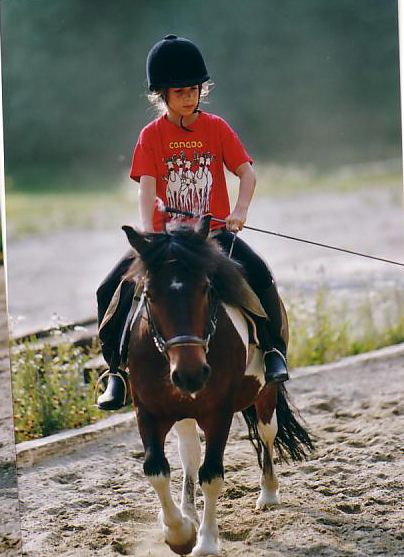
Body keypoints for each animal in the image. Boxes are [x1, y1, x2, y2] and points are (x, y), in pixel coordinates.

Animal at [122, 217, 312, 556]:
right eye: (150, 295)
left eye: (206, 289)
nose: (191, 375)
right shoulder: (147, 412)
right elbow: (156, 470)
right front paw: (179, 531)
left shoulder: (218, 413)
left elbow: (211, 475)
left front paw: (206, 541)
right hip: (182, 413)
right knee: (189, 453)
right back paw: (188, 511)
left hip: (265, 392)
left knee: (267, 432)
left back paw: (268, 493)